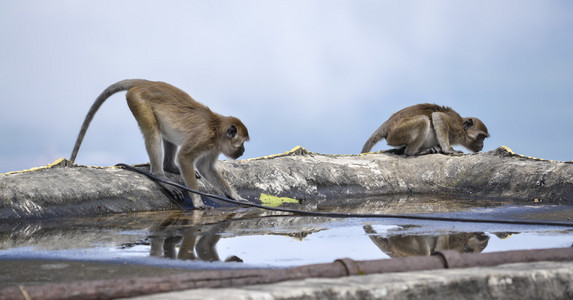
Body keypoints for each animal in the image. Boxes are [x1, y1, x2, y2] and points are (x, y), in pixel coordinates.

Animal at [70, 79, 249, 209]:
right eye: (241, 143)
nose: (243, 151)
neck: (216, 129)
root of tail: (148, 83)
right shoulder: (203, 137)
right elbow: (184, 158)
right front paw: (198, 202)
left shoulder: (214, 147)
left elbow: (206, 167)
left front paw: (234, 196)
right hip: (138, 100)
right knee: (152, 130)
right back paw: (160, 176)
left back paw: (170, 166)